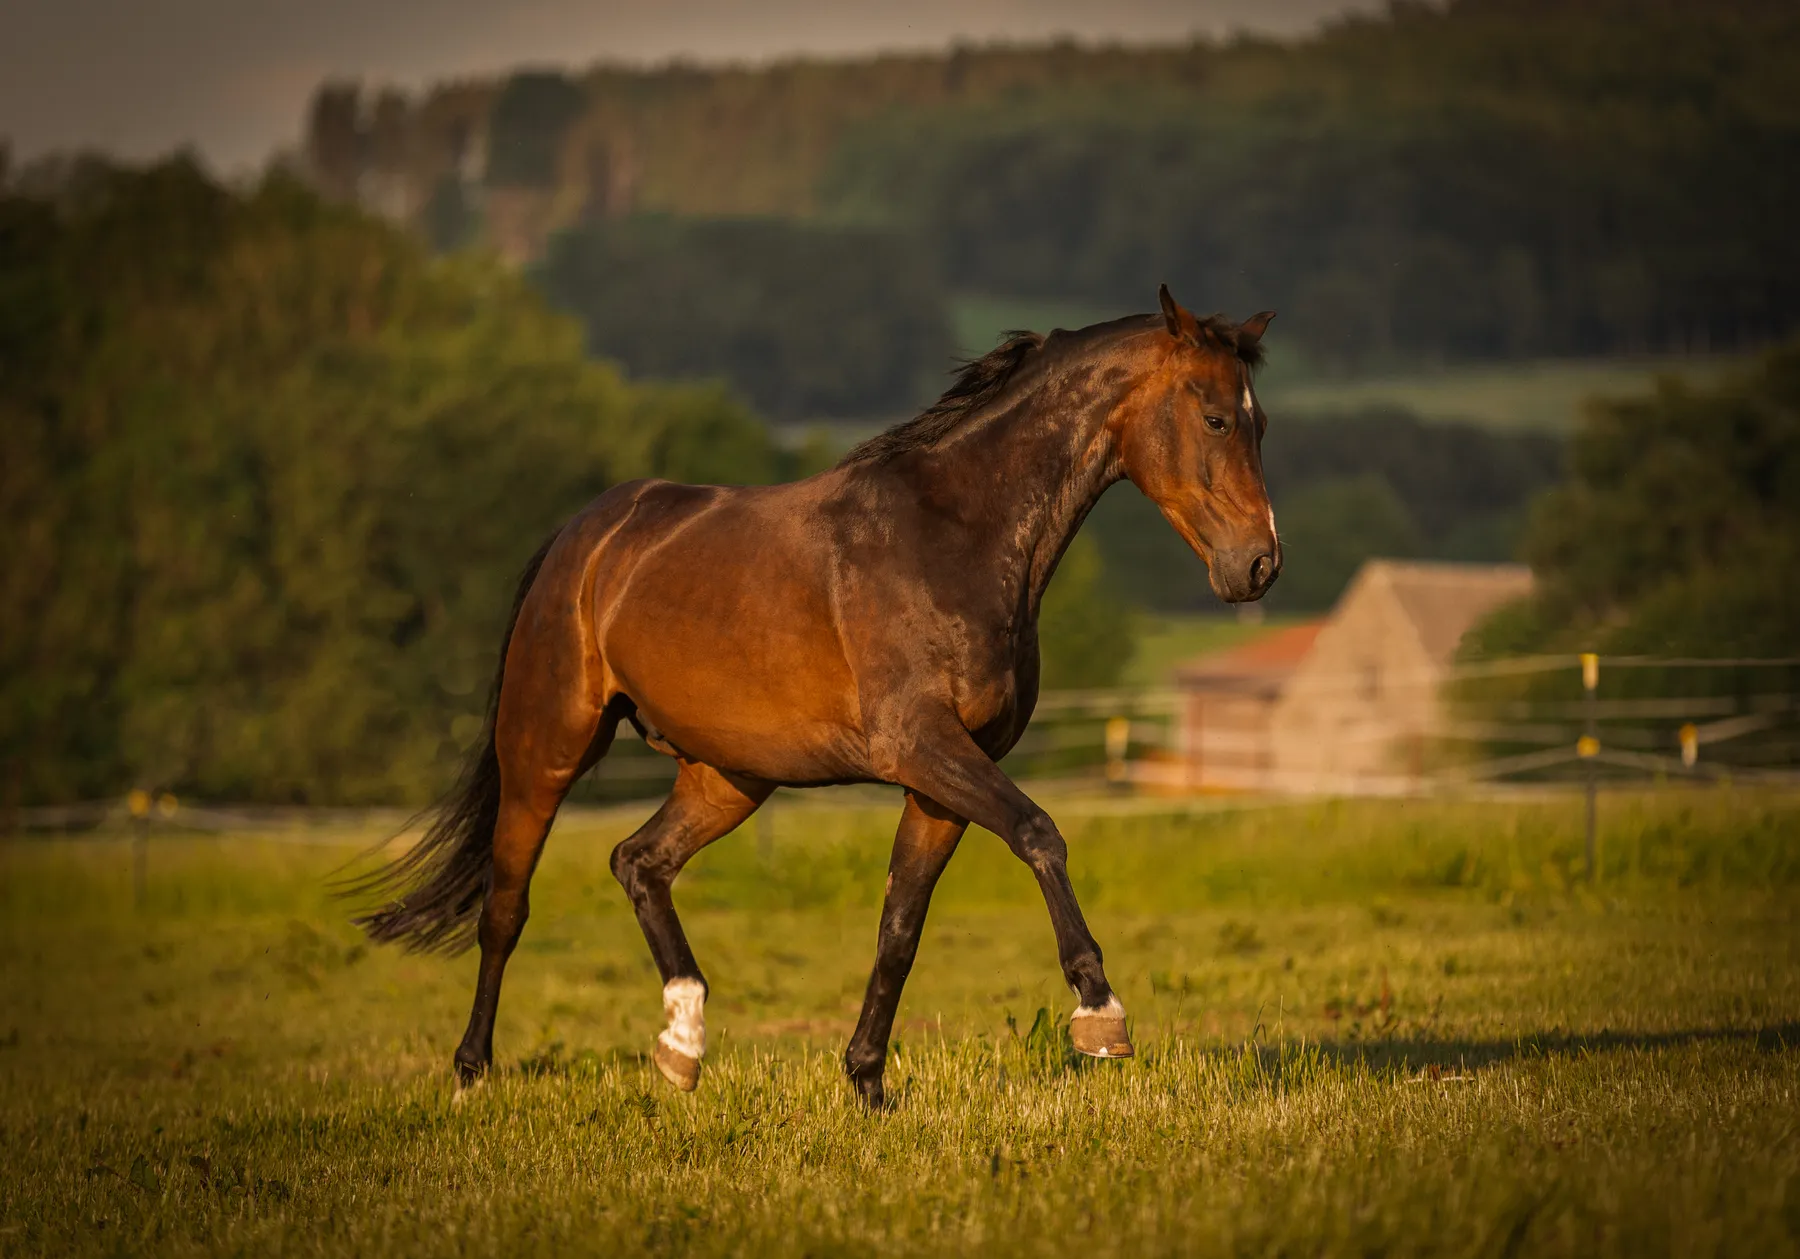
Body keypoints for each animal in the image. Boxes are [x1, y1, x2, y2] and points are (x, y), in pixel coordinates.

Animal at [351, 285, 1280, 1108]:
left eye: (1260, 422)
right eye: (1215, 417)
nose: (1260, 565)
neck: (955, 536)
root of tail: (582, 537)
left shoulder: (940, 779)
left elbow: (900, 927)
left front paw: (867, 1085)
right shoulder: (922, 745)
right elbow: (1038, 833)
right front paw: (1100, 1013)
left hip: (729, 776)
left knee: (638, 861)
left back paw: (682, 1045)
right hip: (545, 747)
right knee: (505, 906)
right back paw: (473, 1075)